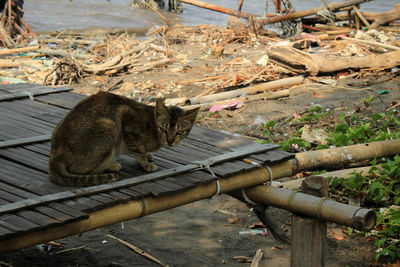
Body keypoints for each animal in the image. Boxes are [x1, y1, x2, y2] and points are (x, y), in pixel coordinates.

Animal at [49, 92, 199, 188]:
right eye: (163, 129)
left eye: (179, 132)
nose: (170, 141)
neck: (152, 125)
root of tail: (55, 156)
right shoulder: (126, 118)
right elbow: (138, 150)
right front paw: (146, 163)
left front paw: (148, 156)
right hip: (109, 126)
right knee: (84, 171)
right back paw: (112, 165)